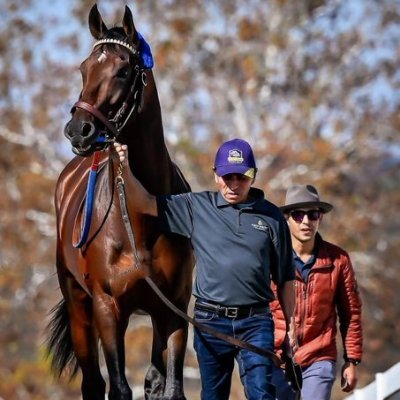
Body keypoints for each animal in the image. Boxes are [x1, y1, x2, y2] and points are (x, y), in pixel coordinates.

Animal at [47, 3, 194, 400]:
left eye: (123, 70)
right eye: (84, 68)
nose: (79, 131)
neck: (141, 219)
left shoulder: (174, 309)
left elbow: (171, 387)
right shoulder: (107, 307)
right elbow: (118, 387)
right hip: (80, 308)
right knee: (94, 383)